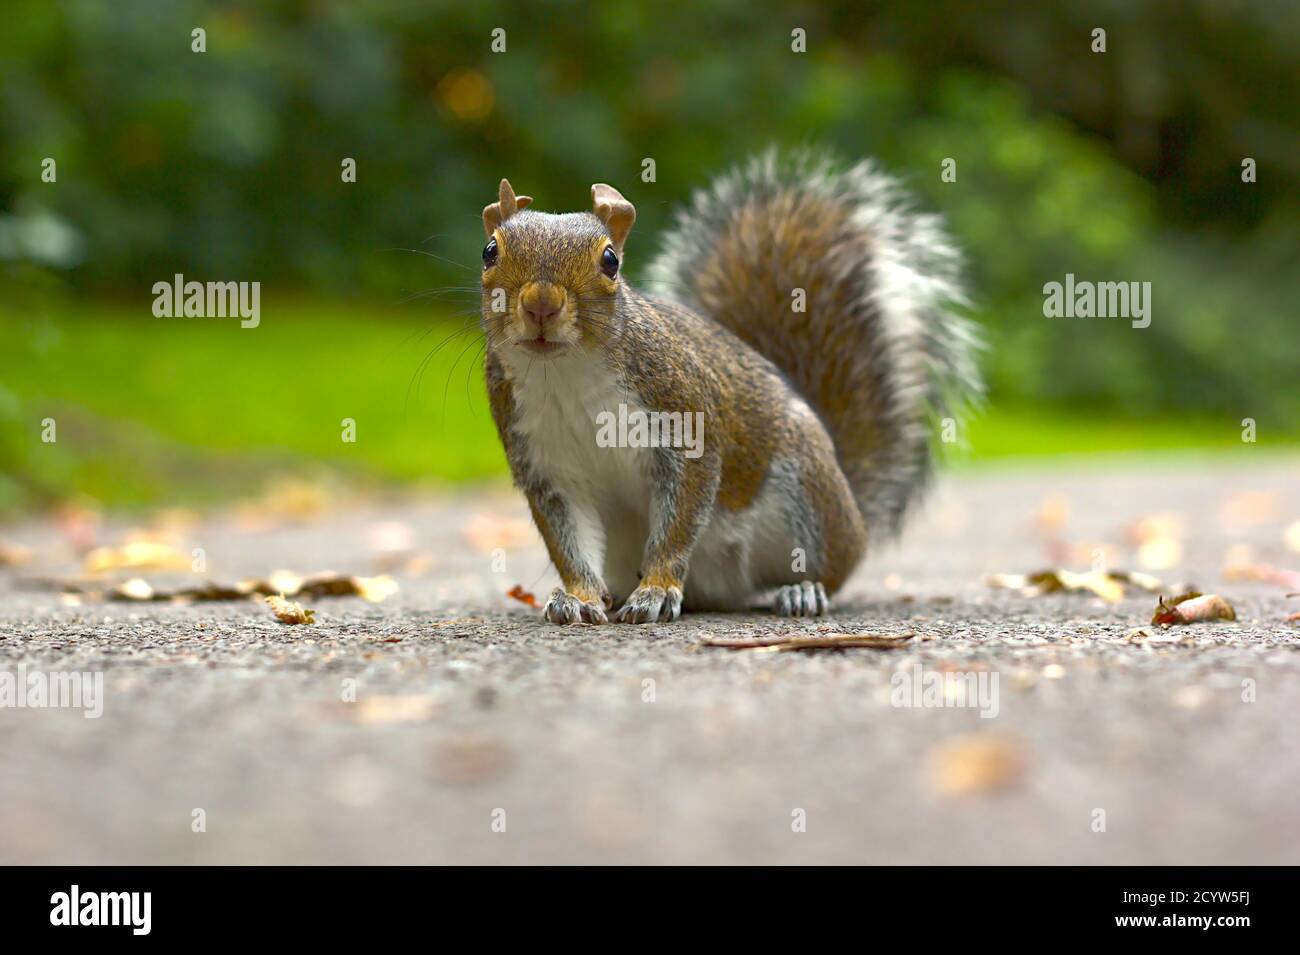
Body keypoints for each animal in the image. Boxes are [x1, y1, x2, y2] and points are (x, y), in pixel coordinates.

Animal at [483, 148, 977, 623]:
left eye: (610, 261)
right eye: (490, 251)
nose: (541, 304)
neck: (564, 374)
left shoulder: (683, 421)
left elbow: (679, 521)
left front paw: (657, 590)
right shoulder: (546, 467)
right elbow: (568, 545)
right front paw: (577, 598)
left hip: (805, 491)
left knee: (831, 569)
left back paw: (802, 589)